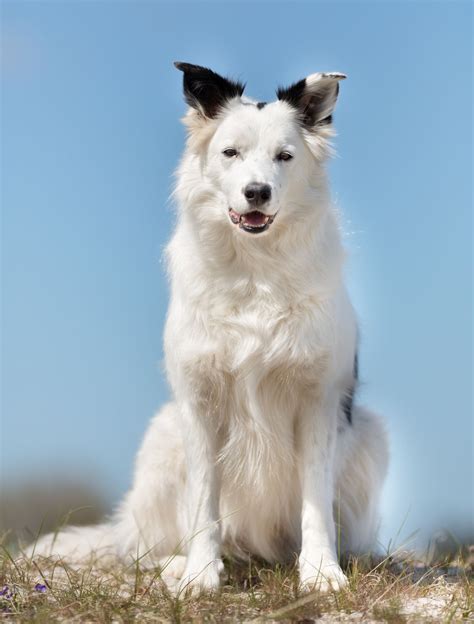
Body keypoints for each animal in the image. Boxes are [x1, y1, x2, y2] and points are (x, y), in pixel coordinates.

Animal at [28, 63, 388, 596]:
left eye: (285, 156)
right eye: (230, 152)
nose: (257, 192)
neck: (255, 270)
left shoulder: (317, 398)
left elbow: (315, 502)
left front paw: (322, 572)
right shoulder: (200, 400)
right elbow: (204, 501)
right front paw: (200, 576)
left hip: (371, 435)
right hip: (161, 442)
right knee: (136, 550)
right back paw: (176, 565)